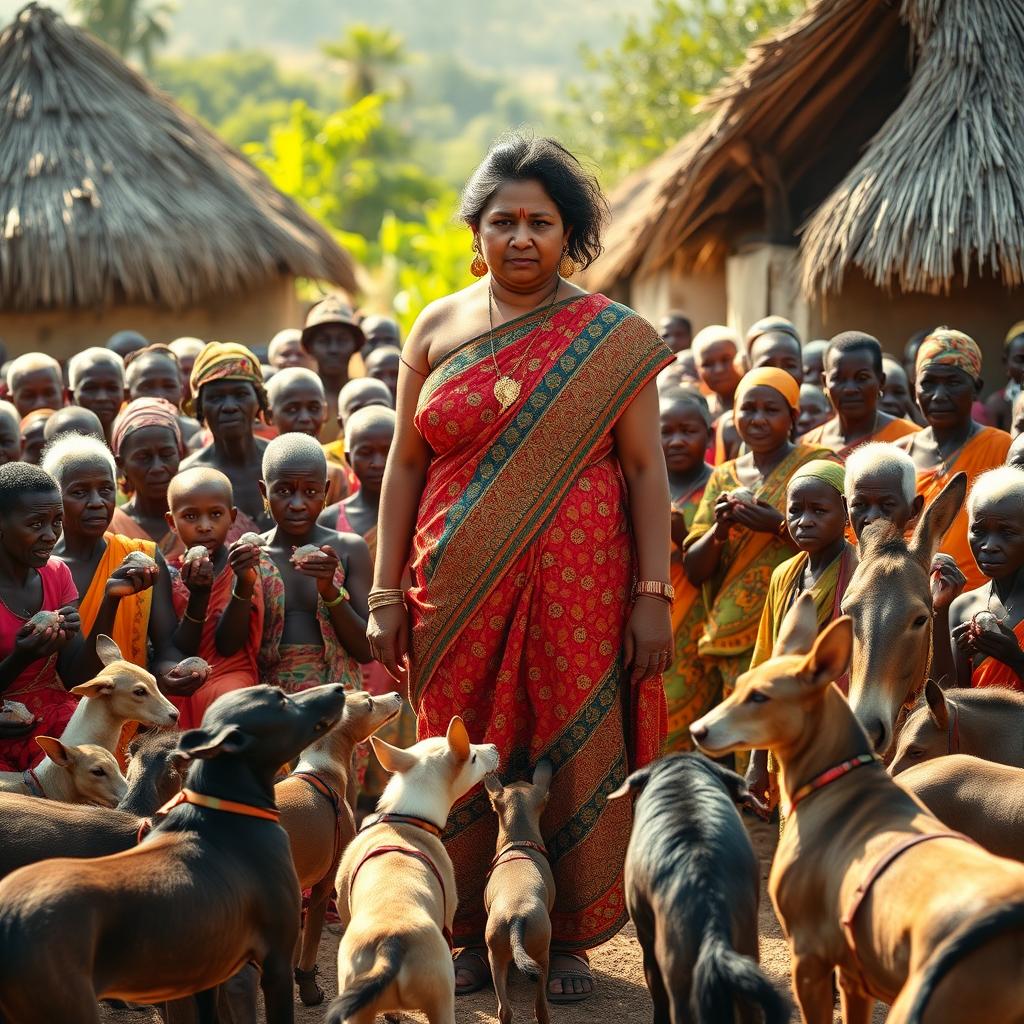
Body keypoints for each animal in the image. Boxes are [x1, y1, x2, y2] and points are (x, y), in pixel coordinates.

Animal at [280, 688, 407, 1007]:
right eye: (370, 702)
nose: (397, 693)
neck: (322, 770)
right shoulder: (324, 885)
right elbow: (309, 945)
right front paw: (310, 992)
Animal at [327, 716, 499, 1024]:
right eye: (473, 756)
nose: (493, 746)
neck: (405, 817)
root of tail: (391, 946)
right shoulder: (449, 912)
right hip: (442, 997)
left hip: (355, 1003)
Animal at [483, 761, 557, 1024]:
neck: (519, 843)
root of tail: (517, 917)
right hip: (542, 956)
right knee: (541, 1008)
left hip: (495, 956)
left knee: (504, 1010)